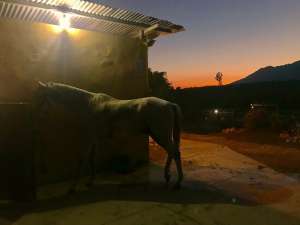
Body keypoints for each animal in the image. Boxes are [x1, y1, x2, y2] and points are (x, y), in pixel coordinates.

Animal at [32, 81, 183, 192]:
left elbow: (81, 160)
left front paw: (72, 188)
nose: (36, 120)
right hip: (162, 135)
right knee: (171, 152)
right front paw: (90, 182)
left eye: (40, 97)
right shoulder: (94, 140)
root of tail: (169, 104)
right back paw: (168, 176)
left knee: (175, 152)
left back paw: (177, 183)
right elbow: (92, 160)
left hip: (160, 135)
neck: (88, 105)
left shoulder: (87, 140)